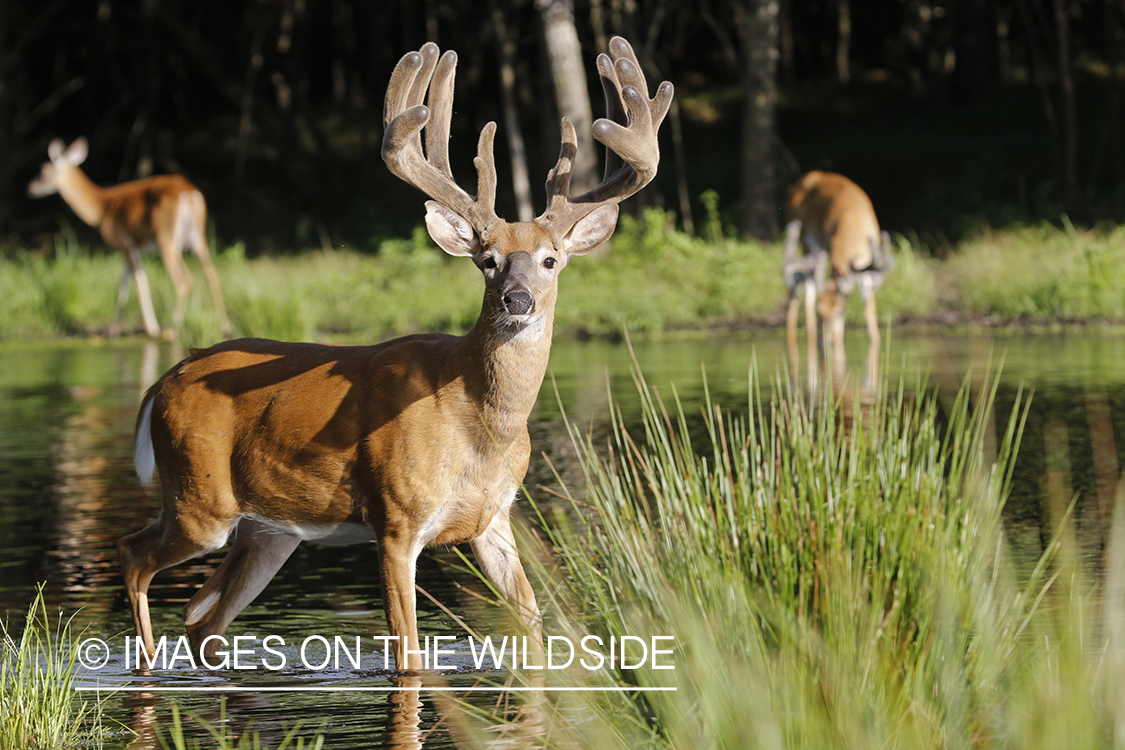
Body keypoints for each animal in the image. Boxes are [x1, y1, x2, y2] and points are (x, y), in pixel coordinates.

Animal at [29, 138, 230, 339]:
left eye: (43, 171)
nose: (30, 188)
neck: (101, 208)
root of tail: (188, 194)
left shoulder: (124, 242)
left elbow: (138, 282)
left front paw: (151, 329)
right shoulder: (133, 246)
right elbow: (123, 286)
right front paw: (113, 330)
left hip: (166, 237)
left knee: (183, 279)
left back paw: (172, 329)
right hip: (199, 239)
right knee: (211, 274)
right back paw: (225, 327)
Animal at [118, 39, 670, 674]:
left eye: (551, 259)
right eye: (487, 260)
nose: (518, 299)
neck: (477, 423)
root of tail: (162, 381)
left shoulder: (495, 519)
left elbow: (532, 626)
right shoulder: (396, 519)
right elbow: (408, 655)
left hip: (269, 532)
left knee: (203, 619)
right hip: (199, 499)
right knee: (134, 555)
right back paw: (144, 664)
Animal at [778, 169, 891, 382]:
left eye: (839, 311)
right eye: (821, 313)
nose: (824, 343)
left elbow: (869, 309)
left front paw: (876, 340)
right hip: (804, 238)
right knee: (803, 294)